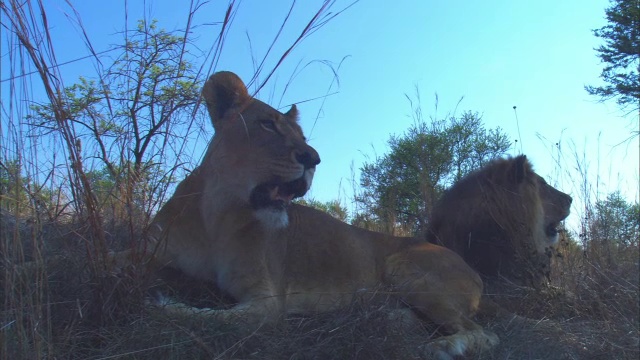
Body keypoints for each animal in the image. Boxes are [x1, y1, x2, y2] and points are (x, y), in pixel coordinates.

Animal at [142, 71, 498, 358]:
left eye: (302, 138)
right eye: (267, 124)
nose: (312, 158)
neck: (216, 216)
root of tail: (475, 272)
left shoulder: (268, 301)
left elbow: (210, 317)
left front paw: (164, 303)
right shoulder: (154, 254)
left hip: (406, 266)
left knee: (483, 334)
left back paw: (441, 347)